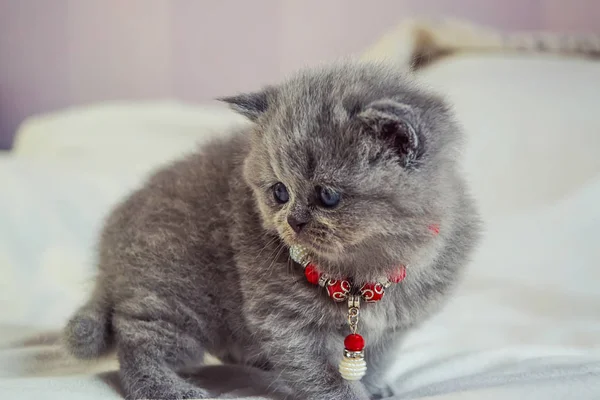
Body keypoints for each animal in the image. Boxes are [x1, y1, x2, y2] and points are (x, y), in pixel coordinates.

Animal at [63, 60, 480, 400]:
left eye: (328, 196)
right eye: (280, 191)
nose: (293, 221)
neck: (361, 277)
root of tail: (107, 255)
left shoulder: (393, 330)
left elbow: (375, 361)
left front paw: (375, 387)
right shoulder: (284, 323)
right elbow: (323, 377)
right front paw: (351, 394)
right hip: (173, 296)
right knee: (136, 342)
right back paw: (168, 389)